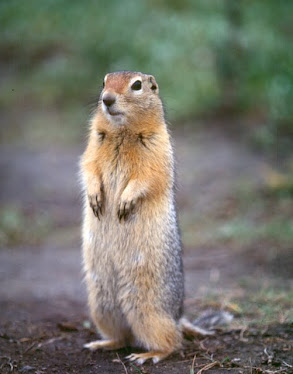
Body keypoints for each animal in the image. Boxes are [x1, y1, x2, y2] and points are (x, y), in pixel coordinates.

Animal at [80, 71, 217, 364]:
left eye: (137, 85)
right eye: (104, 81)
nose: (107, 99)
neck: (121, 131)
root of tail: (178, 316)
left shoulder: (157, 149)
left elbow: (147, 178)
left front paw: (124, 203)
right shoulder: (92, 145)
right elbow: (88, 168)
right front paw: (95, 197)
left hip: (148, 311)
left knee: (173, 341)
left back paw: (148, 355)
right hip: (102, 306)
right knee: (123, 336)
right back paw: (101, 344)